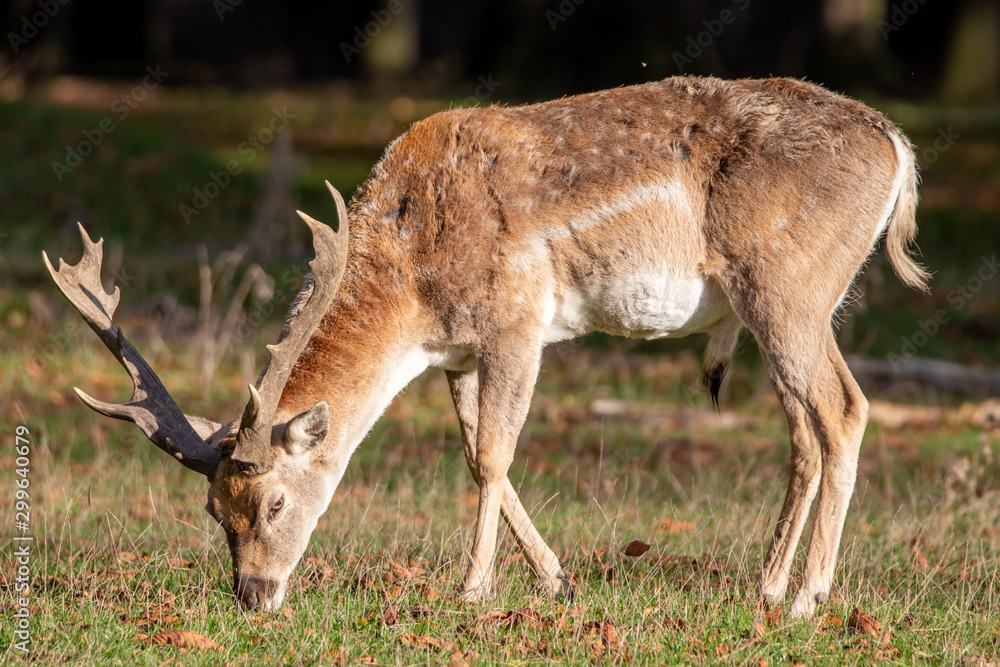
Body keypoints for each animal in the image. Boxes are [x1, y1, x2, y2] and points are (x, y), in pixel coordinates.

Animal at [45, 75, 920, 620]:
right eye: (210, 508)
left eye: (274, 501)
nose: (253, 594)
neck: (413, 287)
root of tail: (900, 148)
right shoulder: (458, 355)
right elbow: (473, 455)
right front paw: (558, 580)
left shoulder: (516, 321)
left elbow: (495, 453)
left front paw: (471, 591)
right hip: (785, 307)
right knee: (805, 430)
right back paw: (767, 587)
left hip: (787, 287)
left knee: (845, 409)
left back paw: (808, 598)